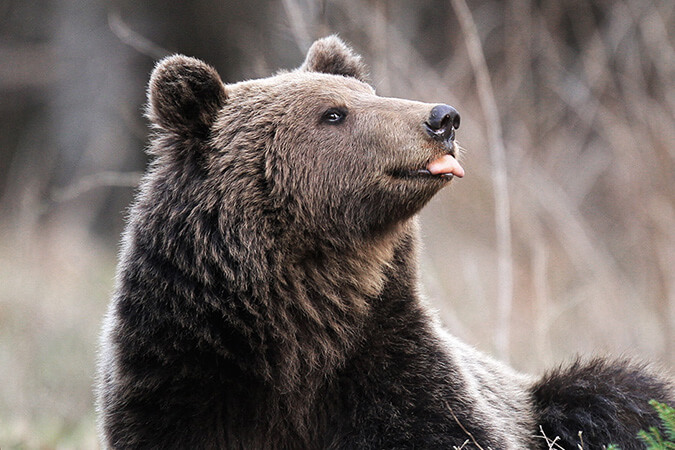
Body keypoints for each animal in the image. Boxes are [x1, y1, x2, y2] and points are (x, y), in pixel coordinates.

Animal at [97, 37, 672, 448]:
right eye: (333, 113)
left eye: (369, 95)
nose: (443, 118)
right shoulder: (182, 375)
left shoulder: (395, 371)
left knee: (616, 395)